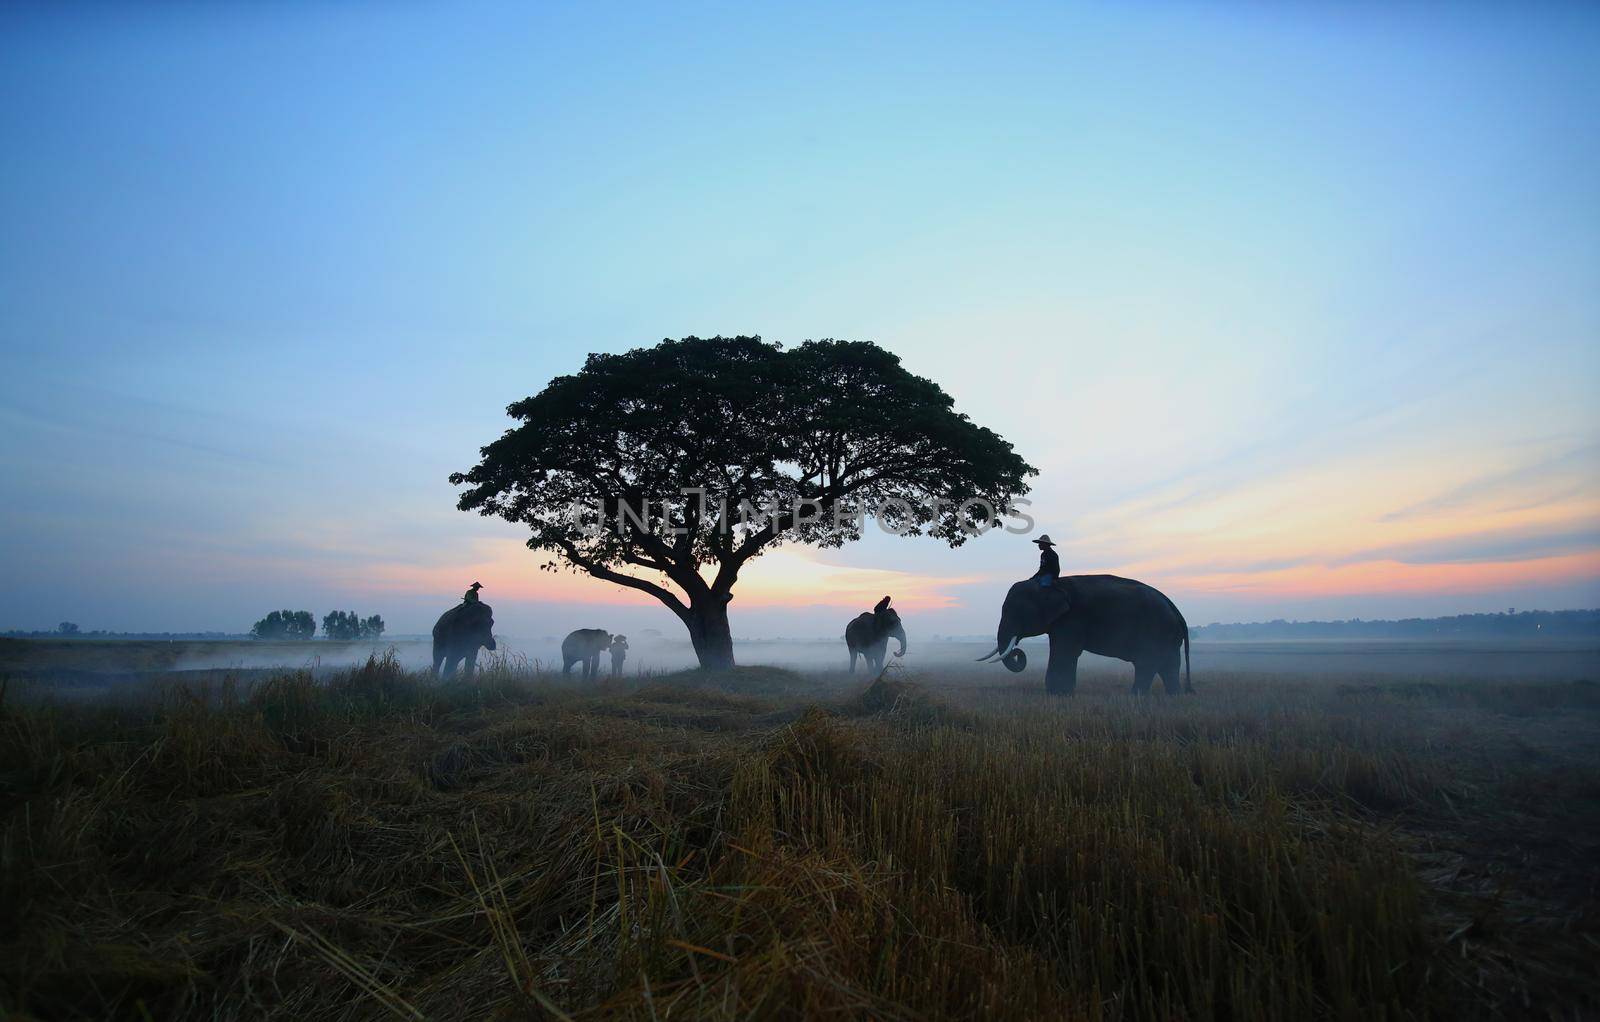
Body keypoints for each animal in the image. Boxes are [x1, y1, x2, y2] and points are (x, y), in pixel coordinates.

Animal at [972, 575, 1190, 697]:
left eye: (1015, 612)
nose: (1018, 650)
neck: (1052, 585)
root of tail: (1175, 608)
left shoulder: (1072, 618)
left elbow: (1064, 651)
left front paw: (1057, 695)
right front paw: (1063, 694)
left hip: (1156, 631)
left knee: (1147, 664)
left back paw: (1135, 697)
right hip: (1167, 636)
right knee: (1168, 666)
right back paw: (1173, 697)